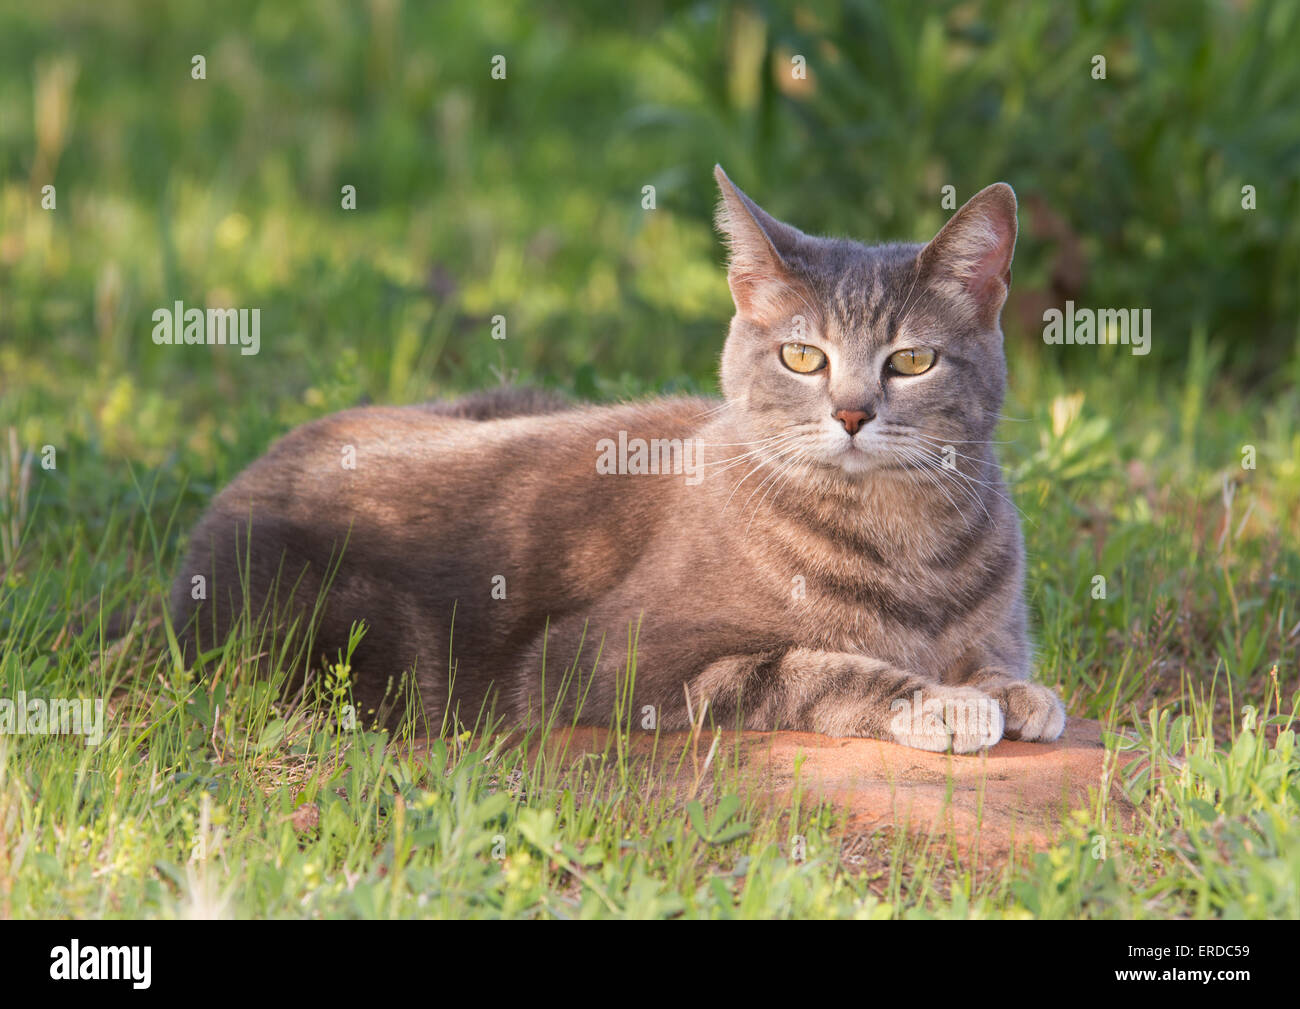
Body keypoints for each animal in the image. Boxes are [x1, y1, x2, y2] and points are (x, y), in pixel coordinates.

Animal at [170, 167, 1066, 748]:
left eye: (912, 360)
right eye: (802, 356)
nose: (851, 413)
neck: (905, 536)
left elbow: (992, 655)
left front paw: (1012, 689)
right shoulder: (605, 660)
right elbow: (814, 667)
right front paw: (941, 701)